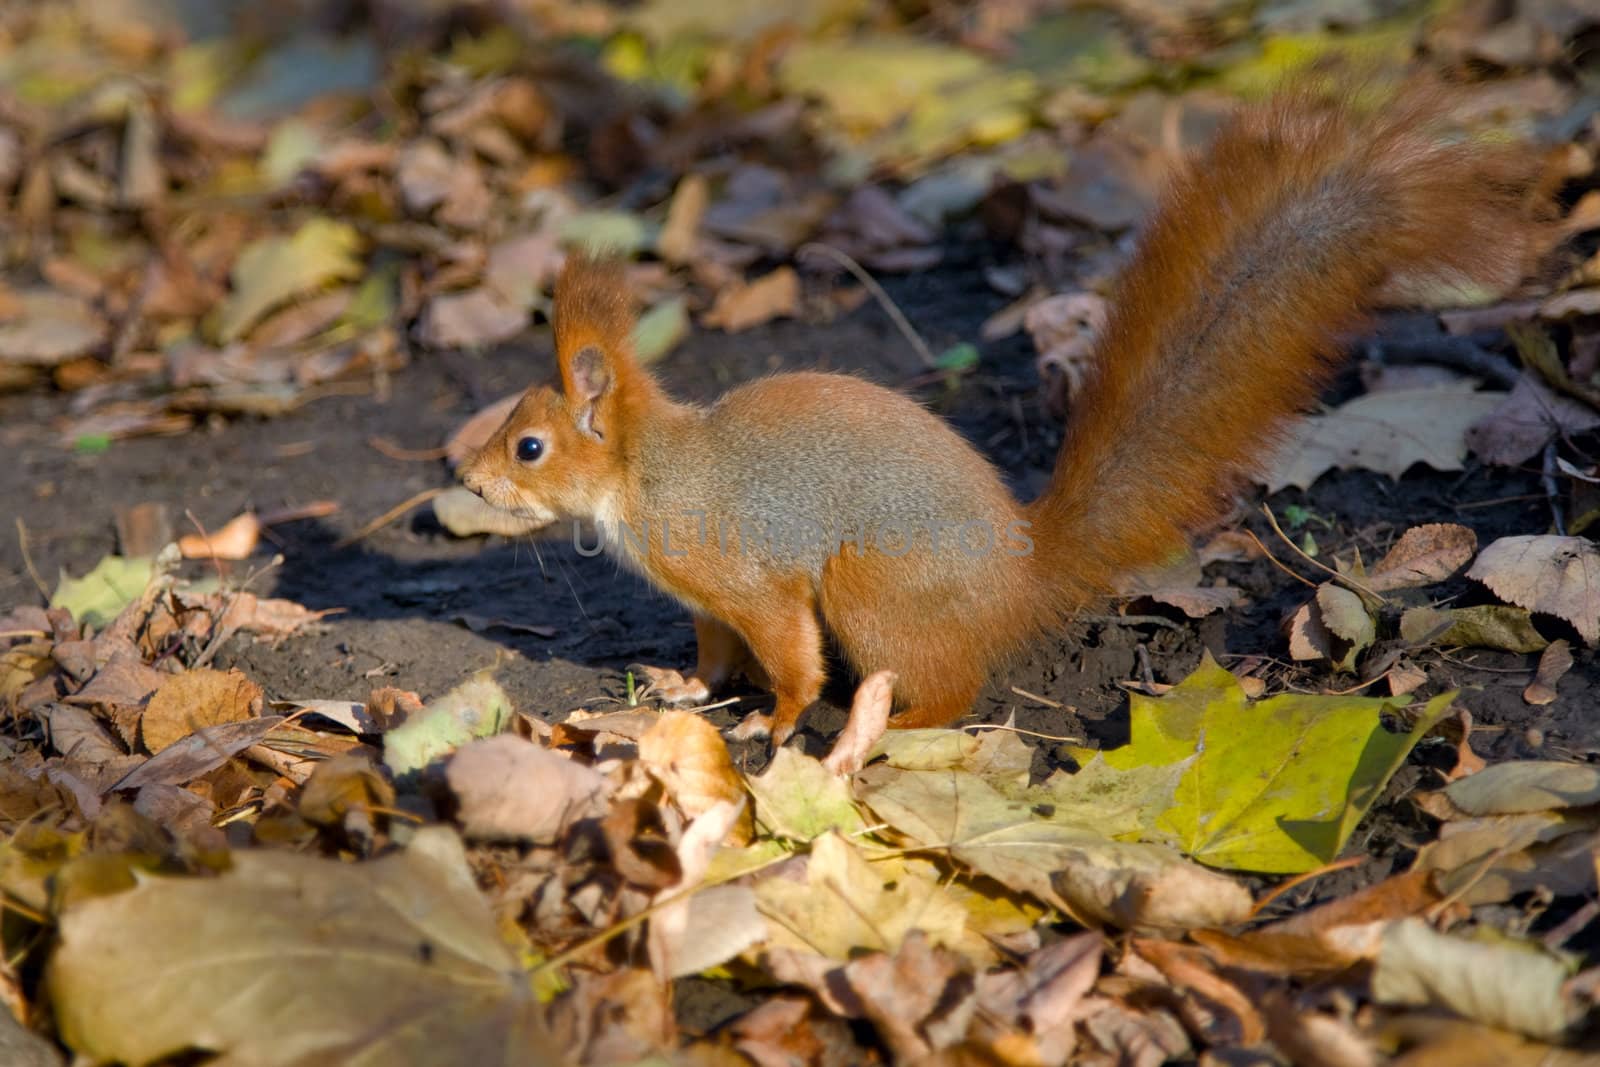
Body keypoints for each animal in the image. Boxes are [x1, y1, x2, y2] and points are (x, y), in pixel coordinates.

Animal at [460, 89, 1548, 742]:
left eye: (529, 444)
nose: (462, 476)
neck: (643, 476)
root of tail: (1020, 577)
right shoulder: (705, 601)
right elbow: (714, 649)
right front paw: (690, 689)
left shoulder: (747, 576)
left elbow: (787, 653)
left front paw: (776, 722)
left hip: (874, 584)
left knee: (947, 689)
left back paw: (890, 726)